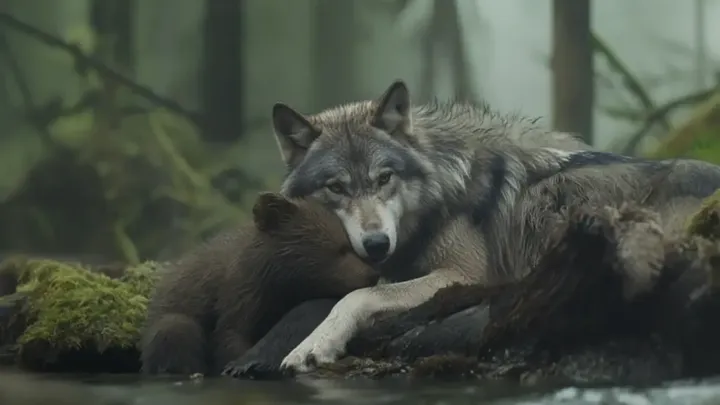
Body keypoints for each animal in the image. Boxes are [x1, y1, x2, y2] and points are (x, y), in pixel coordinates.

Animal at [271, 79, 720, 373]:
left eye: (384, 178)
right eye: (336, 187)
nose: (377, 243)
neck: (442, 191)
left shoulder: (467, 275)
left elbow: (359, 295)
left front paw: (313, 345)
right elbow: (371, 288)